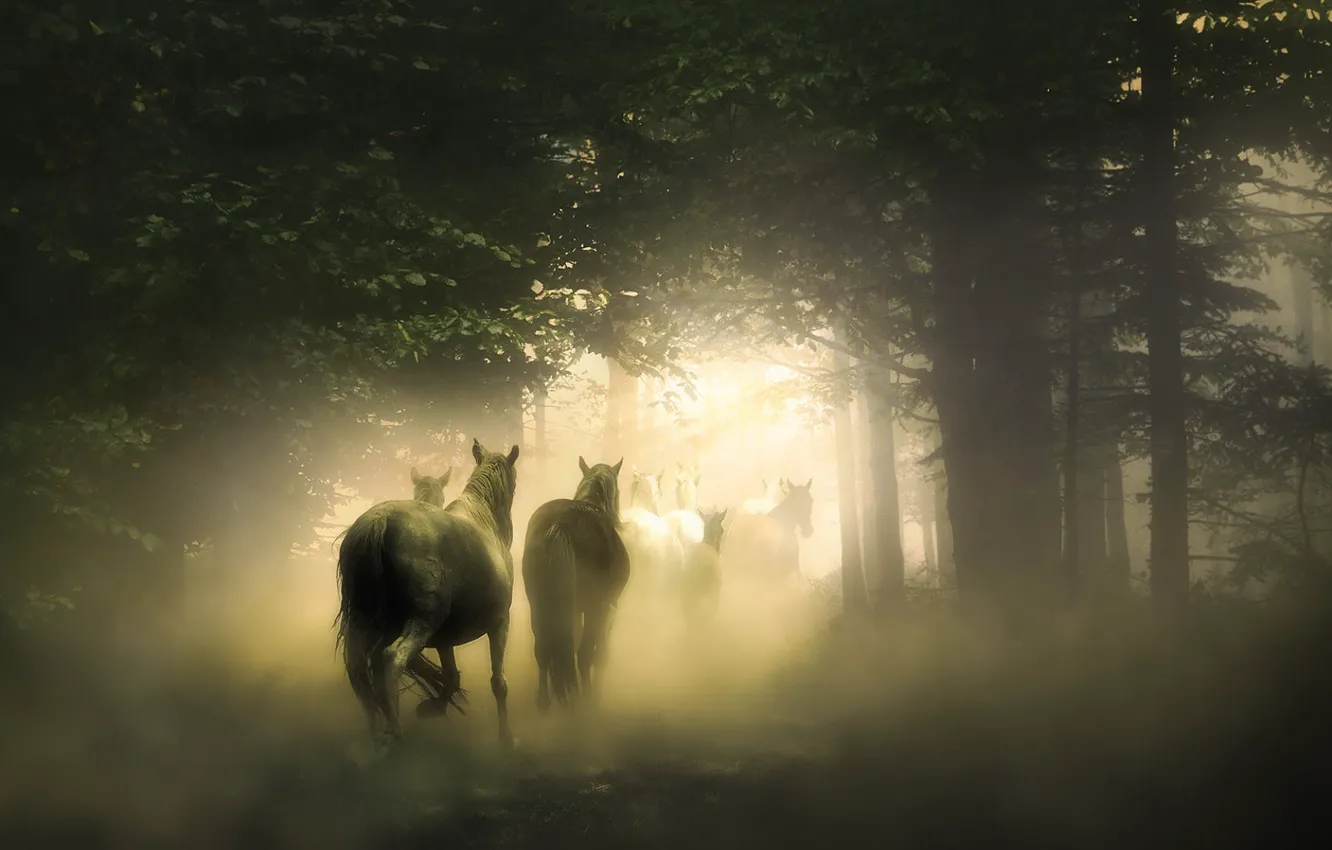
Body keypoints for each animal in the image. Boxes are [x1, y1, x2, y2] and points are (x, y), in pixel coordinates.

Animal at [335, 438, 520, 751]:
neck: (484, 521)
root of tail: (379, 521)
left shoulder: (445, 638)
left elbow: (451, 677)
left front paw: (432, 708)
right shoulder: (499, 623)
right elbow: (499, 683)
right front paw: (506, 737)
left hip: (366, 622)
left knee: (359, 669)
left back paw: (377, 734)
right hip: (422, 622)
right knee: (390, 659)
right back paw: (395, 733)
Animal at [522, 457, 629, 711]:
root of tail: (562, 523)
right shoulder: (607, 609)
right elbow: (600, 655)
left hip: (538, 604)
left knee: (543, 649)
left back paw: (545, 701)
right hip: (593, 608)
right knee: (584, 655)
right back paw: (586, 703)